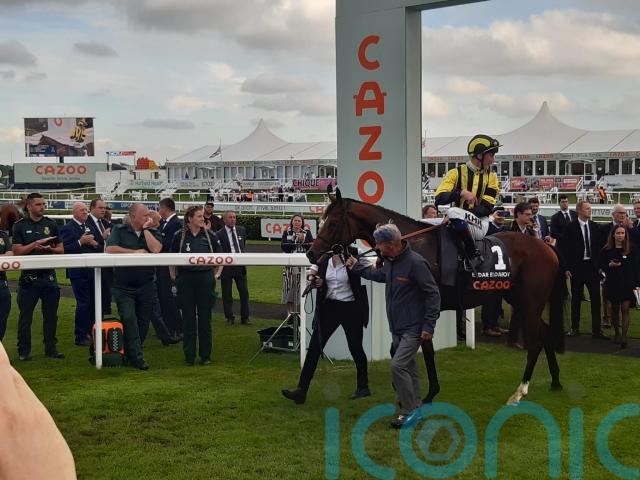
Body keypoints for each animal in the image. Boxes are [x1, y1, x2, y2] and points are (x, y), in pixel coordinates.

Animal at [307, 190, 566, 405]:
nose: (311, 253)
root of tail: (547, 248)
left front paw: (428, 393)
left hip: (530, 301)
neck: (410, 243)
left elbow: (426, 351)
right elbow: (400, 350)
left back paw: (520, 391)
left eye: (332, 223)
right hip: (521, 300)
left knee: (535, 342)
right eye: (323, 220)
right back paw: (555, 381)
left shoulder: (425, 307)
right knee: (544, 332)